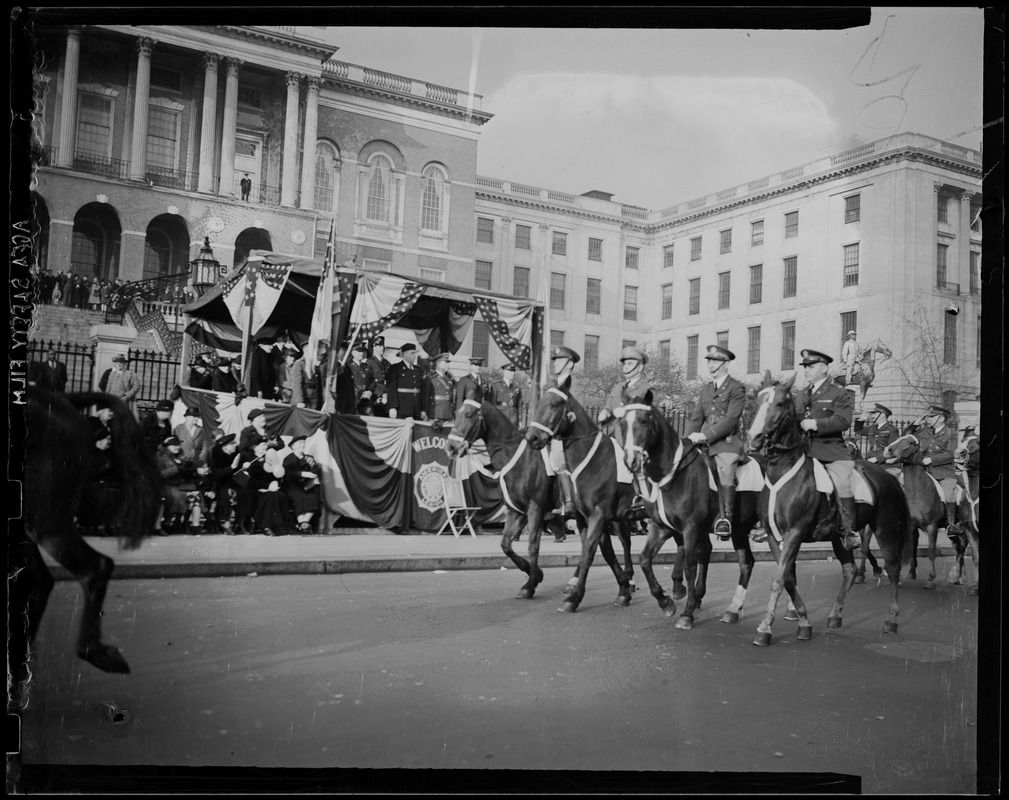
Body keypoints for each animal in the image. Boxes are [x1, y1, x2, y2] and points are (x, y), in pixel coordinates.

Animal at [524, 375, 633, 613]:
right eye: (540, 402)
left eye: (555, 404)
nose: (532, 437)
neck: (594, 460)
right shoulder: (588, 517)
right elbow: (603, 552)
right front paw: (623, 589)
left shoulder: (599, 515)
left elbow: (589, 552)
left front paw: (574, 598)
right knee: (627, 541)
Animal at [621, 389, 762, 629]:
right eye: (622, 422)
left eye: (644, 420)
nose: (631, 461)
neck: (672, 475)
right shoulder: (661, 527)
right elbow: (645, 560)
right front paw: (666, 603)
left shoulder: (690, 528)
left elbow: (689, 565)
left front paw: (686, 612)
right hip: (740, 529)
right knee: (746, 563)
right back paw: (732, 610)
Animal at [742, 373, 916, 641]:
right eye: (758, 400)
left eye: (780, 403)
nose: (754, 437)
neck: (782, 469)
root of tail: (888, 476)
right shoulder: (774, 536)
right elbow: (788, 578)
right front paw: (803, 621)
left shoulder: (794, 533)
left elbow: (779, 579)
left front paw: (765, 628)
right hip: (838, 537)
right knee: (850, 570)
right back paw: (835, 615)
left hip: (885, 529)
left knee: (893, 568)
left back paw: (891, 619)